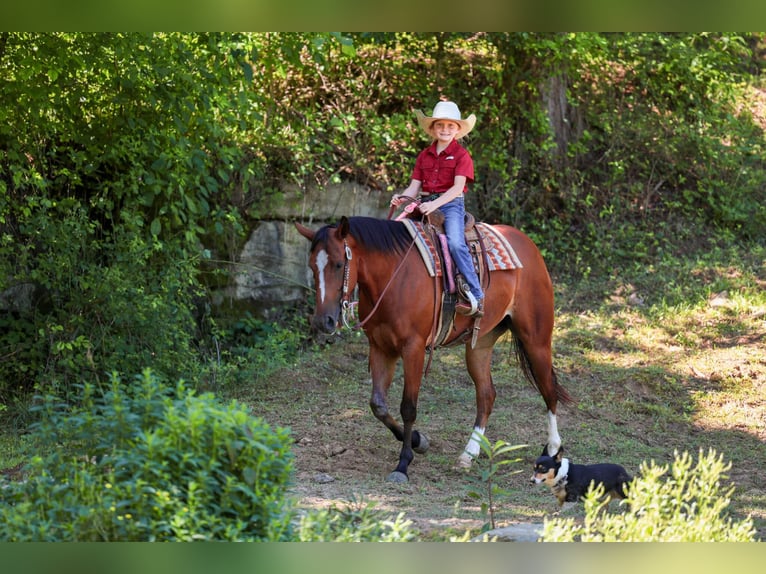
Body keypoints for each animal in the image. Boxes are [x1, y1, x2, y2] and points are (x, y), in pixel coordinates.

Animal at [295, 214, 572, 483]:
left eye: (338, 264)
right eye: (312, 266)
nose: (322, 321)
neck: (393, 276)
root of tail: (528, 245)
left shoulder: (413, 348)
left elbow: (408, 407)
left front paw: (403, 463)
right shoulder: (380, 347)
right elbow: (378, 405)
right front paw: (419, 441)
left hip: (536, 339)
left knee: (549, 390)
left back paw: (553, 450)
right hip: (480, 345)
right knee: (486, 395)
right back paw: (468, 455)